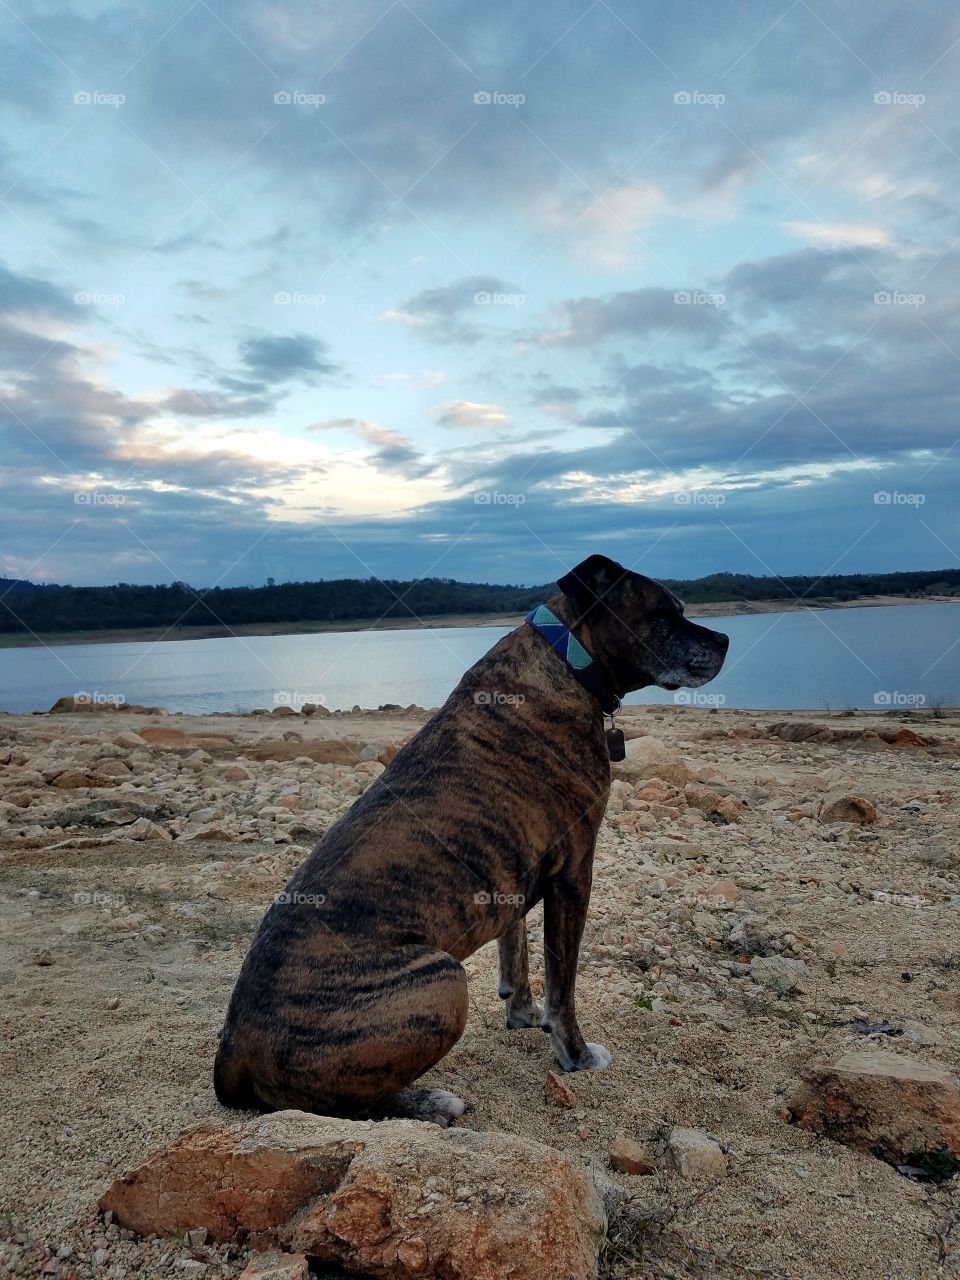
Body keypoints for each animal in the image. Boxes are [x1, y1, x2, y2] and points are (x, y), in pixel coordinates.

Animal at [216, 555, 727, 1126]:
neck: (567, 659)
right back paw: (430, 1101)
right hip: (440, 978)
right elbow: (563, 983)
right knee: (348, 1104)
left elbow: (517, 950)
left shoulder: (518, 874)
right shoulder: (574, 871)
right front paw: (575, 1054)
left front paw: (523, 1013)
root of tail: (231, 1051)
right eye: (665, 613)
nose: (726, 639)